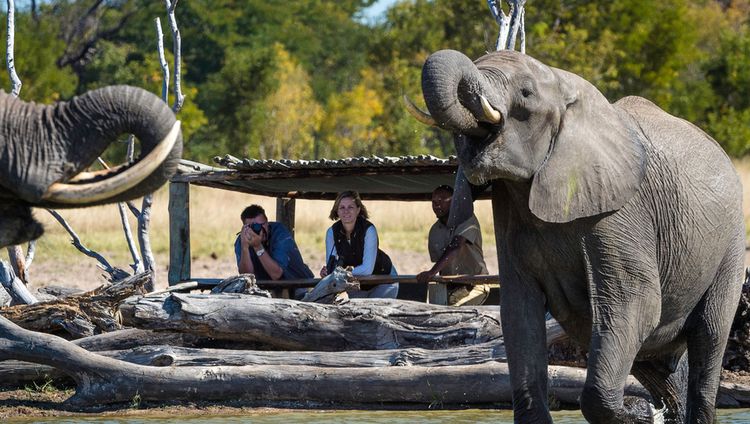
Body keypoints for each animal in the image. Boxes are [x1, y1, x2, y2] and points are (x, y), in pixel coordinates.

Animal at [414, 48, 748, 420]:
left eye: (526, 94)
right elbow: (519, 312)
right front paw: (643, 413)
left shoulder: (620, 212)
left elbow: (636, 302)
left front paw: (638, 413)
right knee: (655, 361)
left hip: (731, 243)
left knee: (708, 336)